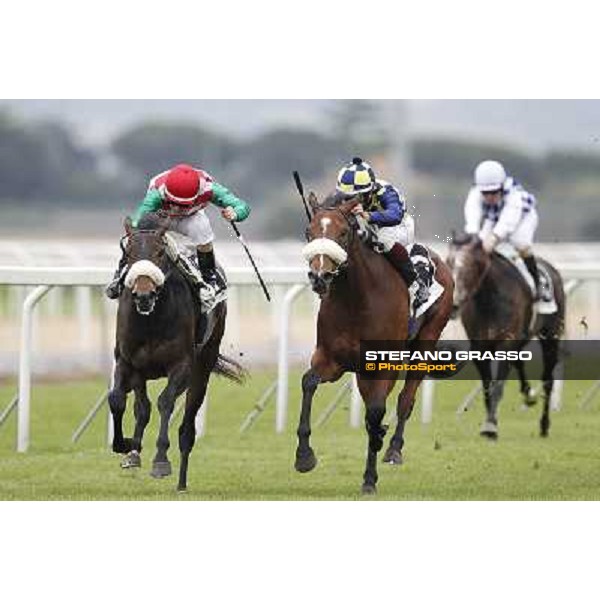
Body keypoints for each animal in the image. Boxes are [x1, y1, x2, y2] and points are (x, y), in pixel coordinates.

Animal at [296, 195, 454, 494]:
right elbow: (308, 382)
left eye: (342, 233)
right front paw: (304, 456)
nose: (320, 277)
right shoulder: (330, 359)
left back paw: (393, 449)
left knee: (405, 400)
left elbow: (377, 411)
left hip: (426, 340)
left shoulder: (382, 364)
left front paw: (370, 478)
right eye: (309, 232)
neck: (356, 299)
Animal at [448, 234, 564, 440]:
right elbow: (488, 386)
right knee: (519, 362)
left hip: (551, 335)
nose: (453, 303)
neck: (489, 300)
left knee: (548, 380)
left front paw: (490, 426)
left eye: (473, 265)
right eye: (448, 262)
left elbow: (498, 386)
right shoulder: (480, 348)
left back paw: (544, 425)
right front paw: (489, 422)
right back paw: (528, 395)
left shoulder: (506, 344)